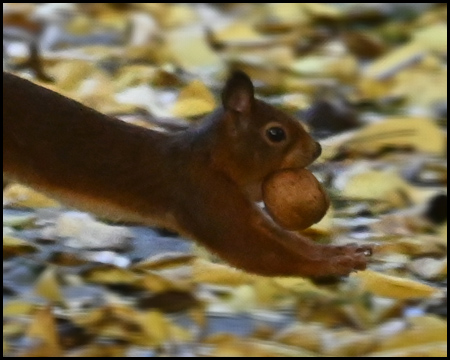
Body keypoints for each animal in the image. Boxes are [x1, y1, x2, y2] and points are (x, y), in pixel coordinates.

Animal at [2, 71, 372, 278]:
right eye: (276, 133)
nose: (318, 149)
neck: (211, 159)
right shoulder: (202, 196)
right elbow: (254, 250)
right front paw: (331, 266)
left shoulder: (238, 206)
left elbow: (285, 239)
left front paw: (339, 253)